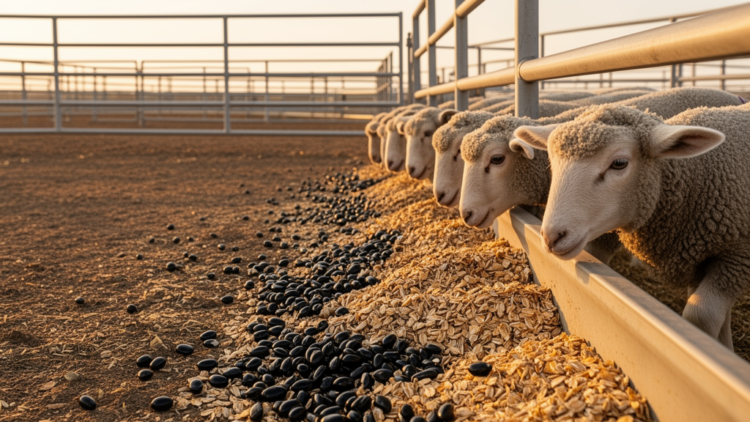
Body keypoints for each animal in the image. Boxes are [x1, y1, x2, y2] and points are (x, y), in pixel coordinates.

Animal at [510, 103, 750, 349]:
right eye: (551, 161)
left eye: (619, 163)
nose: (551, 237)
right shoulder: (701, 261)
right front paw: (725, 347)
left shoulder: (737, 258)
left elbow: (701, 317)